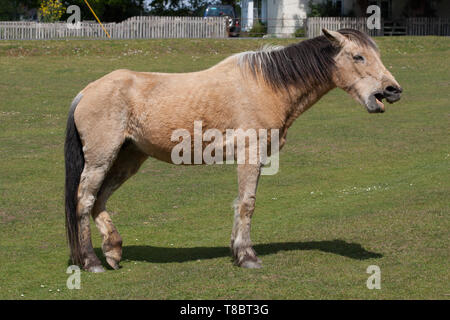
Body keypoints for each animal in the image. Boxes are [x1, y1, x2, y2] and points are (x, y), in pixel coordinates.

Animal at [63, 28, 400, 272]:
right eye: (358, 57)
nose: (392, 90)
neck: (267, 86)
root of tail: (85, 92)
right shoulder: (250, 154)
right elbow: (247, 204)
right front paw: (248, 256)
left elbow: (241, 202)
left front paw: (237, 250)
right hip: (101, 159)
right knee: (85, 200)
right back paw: (91, 262)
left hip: (128, 158)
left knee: (99, 199)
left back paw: (113, 251)